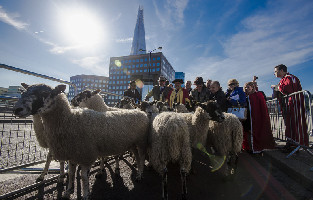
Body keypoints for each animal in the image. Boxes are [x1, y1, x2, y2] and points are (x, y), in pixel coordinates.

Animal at [14, 83, 150, 199]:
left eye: (44, 93)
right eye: (24, 92)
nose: (17, 109)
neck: (70, 120)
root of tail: (140, 112)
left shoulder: (87, 155)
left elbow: (84, 177)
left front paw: (85, 194)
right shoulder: (73, 154)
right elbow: (71, 173)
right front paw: (67, 191)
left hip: (141, 142)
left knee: (142, 156)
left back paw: (139, 175)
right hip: (132, 143)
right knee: (137, 157)